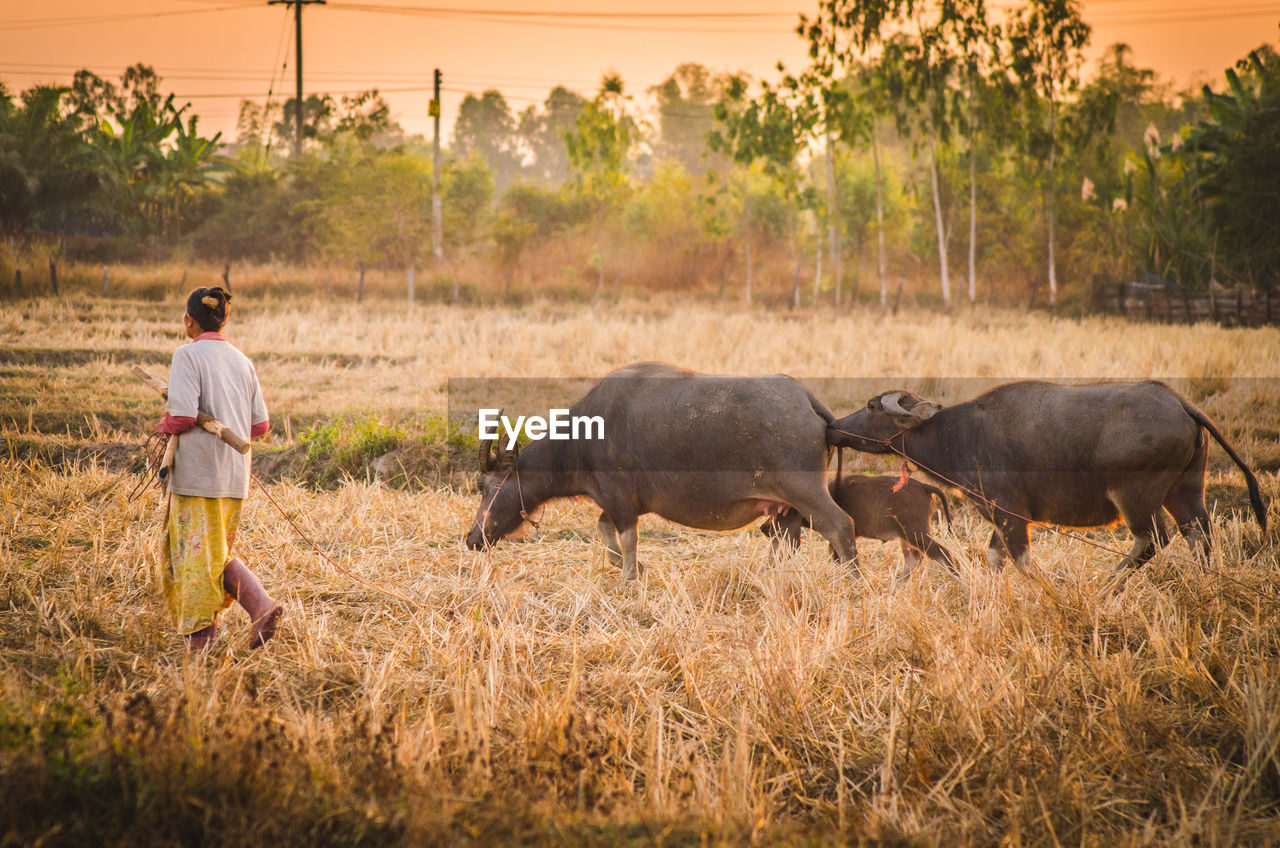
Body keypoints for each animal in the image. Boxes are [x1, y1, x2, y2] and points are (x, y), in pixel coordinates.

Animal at [463, 361, 860, 581]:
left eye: (485, 485)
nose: (472, 538)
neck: (583, 439)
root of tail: (807, 401)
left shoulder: (621, 501)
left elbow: (627, 540)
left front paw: (629, 575)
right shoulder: (616, 503)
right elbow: (605, 531)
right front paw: (626, 566)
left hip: (806, 491)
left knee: (840, 526)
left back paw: (851, 580)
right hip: (786, 507)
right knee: (785, 539)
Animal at [752, 473, 957, 581]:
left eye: (777, 515)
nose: (764, 528)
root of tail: (924, 486)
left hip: (915, 533)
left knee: (942, 553)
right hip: (907, 537)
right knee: (913, 559)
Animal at [824, 379, 1264, 573]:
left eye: (870, 406)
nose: (833, 427)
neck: (961, 434)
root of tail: (1179, 401)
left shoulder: (1010, 514)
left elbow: (1023, 562)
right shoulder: (1000, 518)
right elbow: (995, 558)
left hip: (1135, 497)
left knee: (1152, 539)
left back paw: (1107, 586)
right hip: (1186, 491)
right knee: (1200, 535)